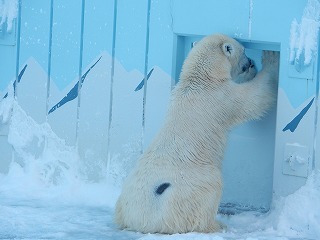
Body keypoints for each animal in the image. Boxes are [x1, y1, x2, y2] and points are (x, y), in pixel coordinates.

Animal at [114, 33, 278, 234]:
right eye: (244, 51)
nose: (250, 62)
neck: (200, 80)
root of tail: (140, 219)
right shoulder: (222, 98)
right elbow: (255, 97)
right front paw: (271, 57)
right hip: (188, 186)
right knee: (209, 188)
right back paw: (217, 224)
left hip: (124, 201)